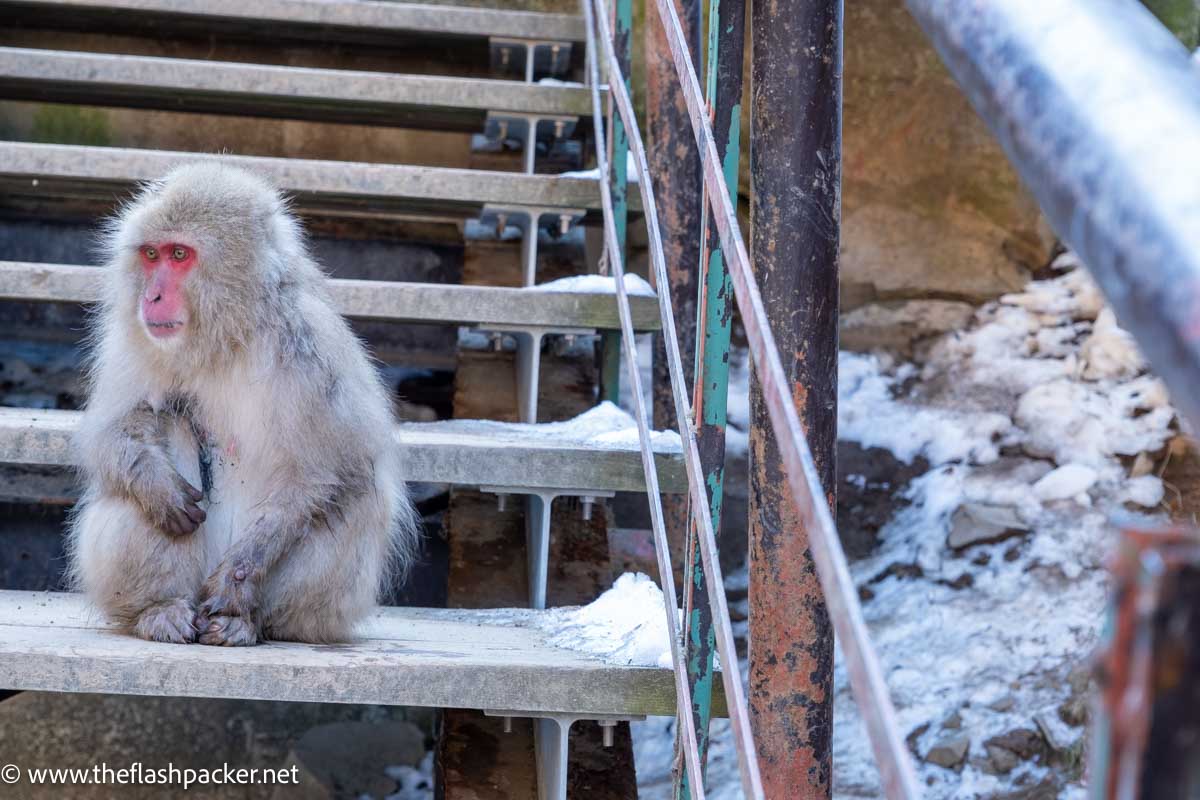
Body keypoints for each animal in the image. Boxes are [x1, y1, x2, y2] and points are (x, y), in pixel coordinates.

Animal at [70, 163, 420, 642]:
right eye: (151, 255)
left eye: (179, 255)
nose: (151, 297)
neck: (229, 336)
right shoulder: (131, 339)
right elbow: (116, 430)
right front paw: (157, 485)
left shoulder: (313, 348)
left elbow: (329, 470)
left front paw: (240, 574)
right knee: (148, 457)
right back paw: (160, 608)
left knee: (354, 504)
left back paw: (245, 621)